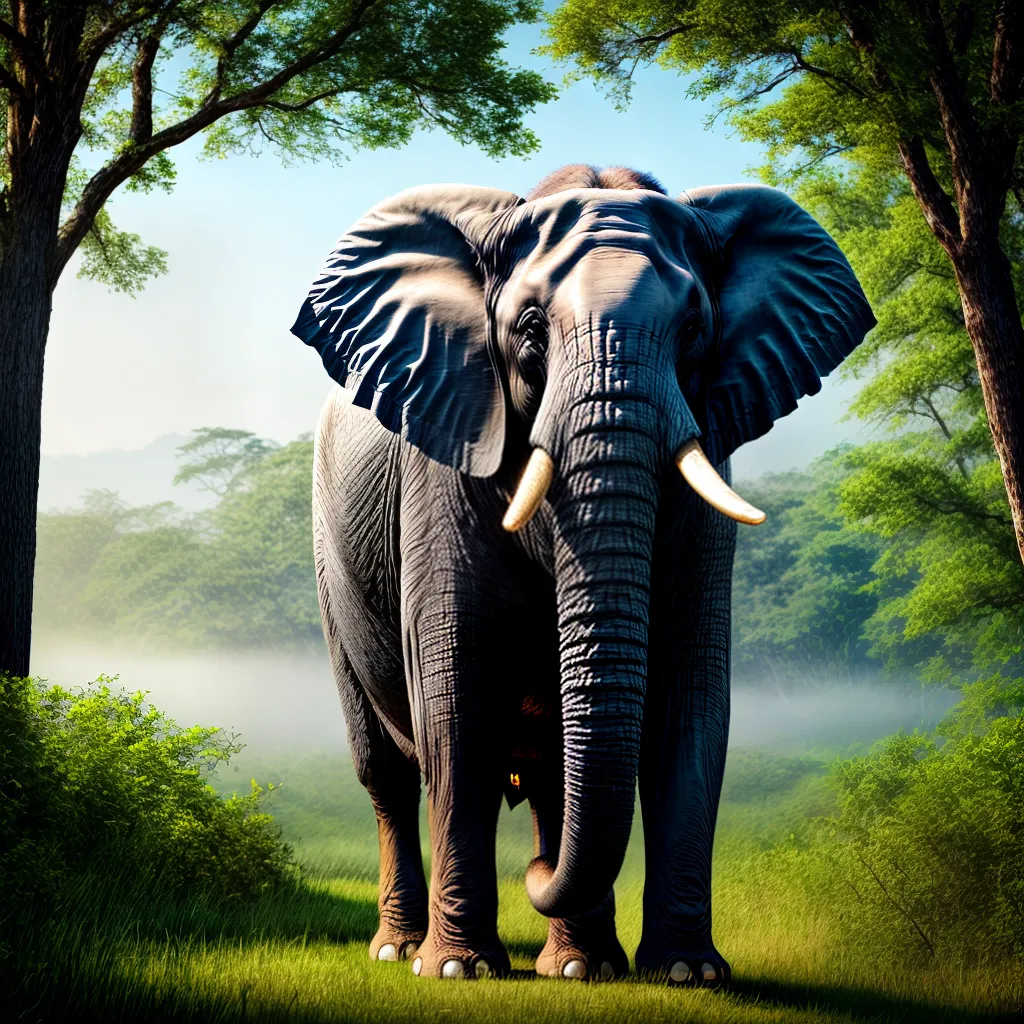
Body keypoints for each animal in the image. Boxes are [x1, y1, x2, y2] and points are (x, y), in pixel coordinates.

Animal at [291, 164, 875, 984]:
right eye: (532, 330)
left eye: (693, 331)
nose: (534, 875)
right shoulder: (442, 468)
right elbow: (457, 697)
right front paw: (458, 972)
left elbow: (689, 700)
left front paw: (687, 975)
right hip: (327, 565)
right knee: (388, 774)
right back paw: (402, 949)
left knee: (548, 775)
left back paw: (576, 966)